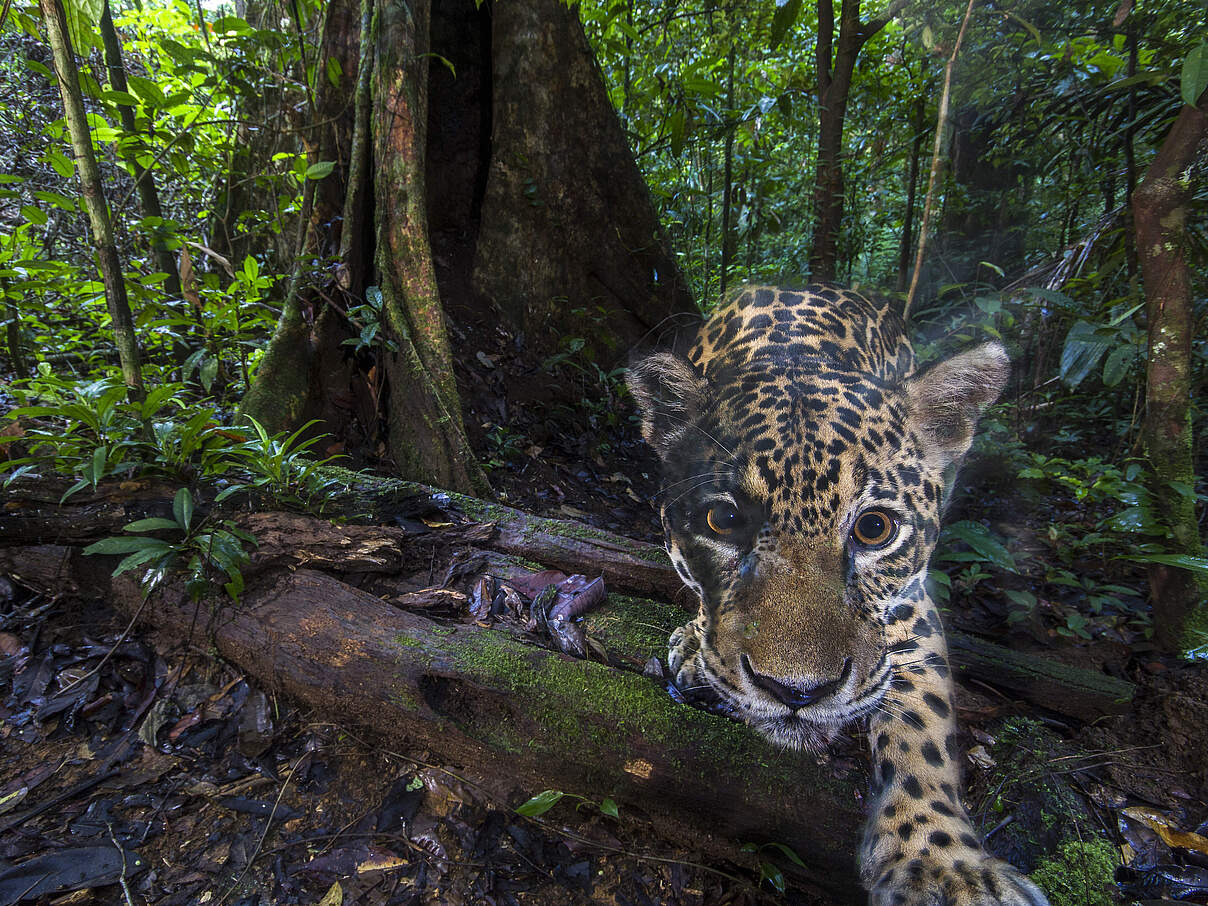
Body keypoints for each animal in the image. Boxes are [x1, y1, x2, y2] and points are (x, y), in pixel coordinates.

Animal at [627, 284, 1049, 906]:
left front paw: (945, 867)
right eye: (722, 520)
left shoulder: (910, 608)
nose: (797, 692)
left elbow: (924, 724)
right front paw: (695, 647)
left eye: (875, 529)